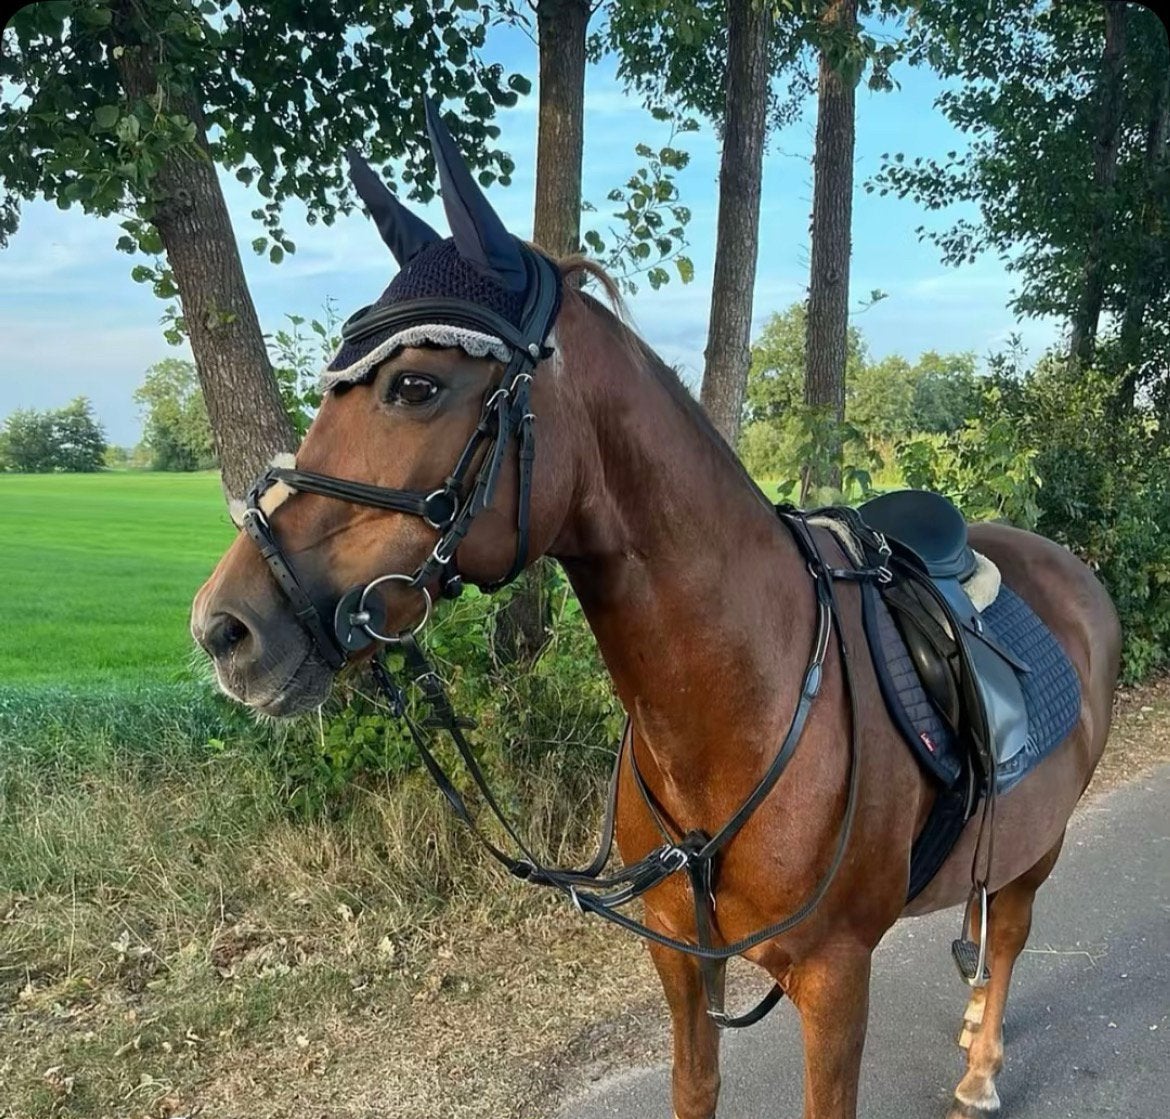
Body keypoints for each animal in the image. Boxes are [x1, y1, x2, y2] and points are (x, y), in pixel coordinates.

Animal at [192, 104, 1121, 1119]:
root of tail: (1071, 570)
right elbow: (693, 1086)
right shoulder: (680, 958)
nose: (225, 628)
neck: (741, 704)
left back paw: (981, 1065)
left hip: (1047, 836)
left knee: (1012, 929)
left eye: (416, 386)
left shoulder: (836, 978)